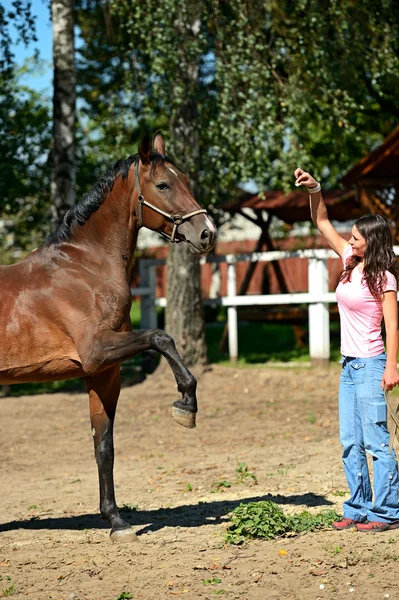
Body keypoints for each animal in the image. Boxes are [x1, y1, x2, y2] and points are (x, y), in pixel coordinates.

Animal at [0, 132, 217, 544]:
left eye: (185, 180)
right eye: (163, 185)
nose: (207, 233)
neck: (84, 268)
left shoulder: (102, 373)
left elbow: (104, 446)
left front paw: (116, 521)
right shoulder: (98, 352)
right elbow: (161, 337)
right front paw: (186, 405)